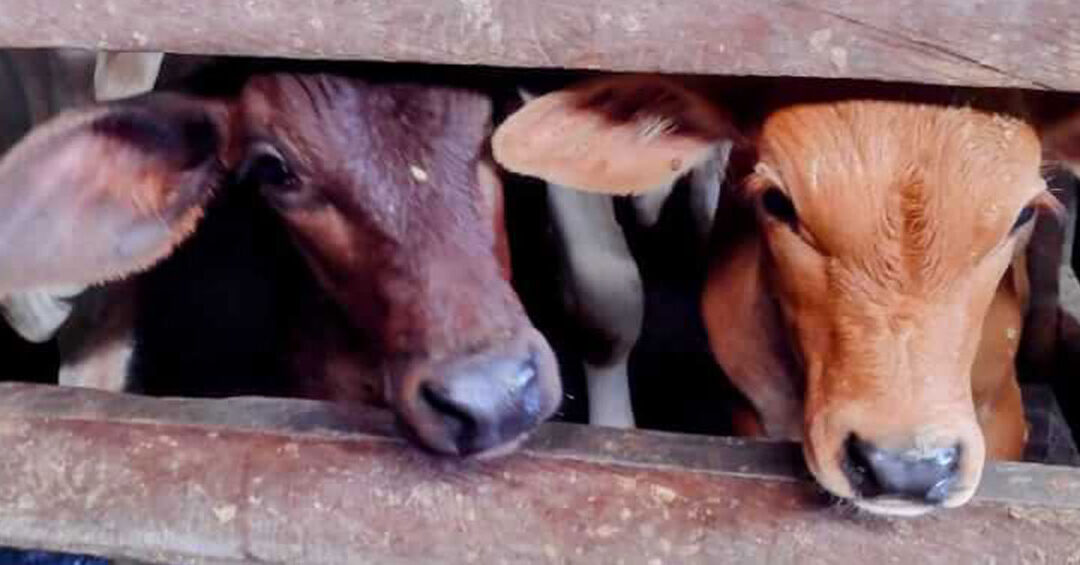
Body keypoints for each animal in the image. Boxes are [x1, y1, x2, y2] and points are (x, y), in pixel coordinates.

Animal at [491, 74, 1080, 515]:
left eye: (1022, 215)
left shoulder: (1002, 411)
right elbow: (606, 298)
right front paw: (614, 433)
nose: (905, 468)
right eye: (778, 203)